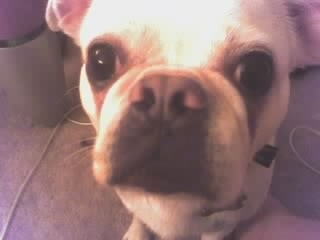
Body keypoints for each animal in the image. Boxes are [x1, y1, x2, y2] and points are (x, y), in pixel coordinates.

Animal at [44, 0, 320, 239]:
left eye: (256, 71)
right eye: (100, 59)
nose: (165, 92)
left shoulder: (220, 228)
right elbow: (139, 219)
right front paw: (136, 233)